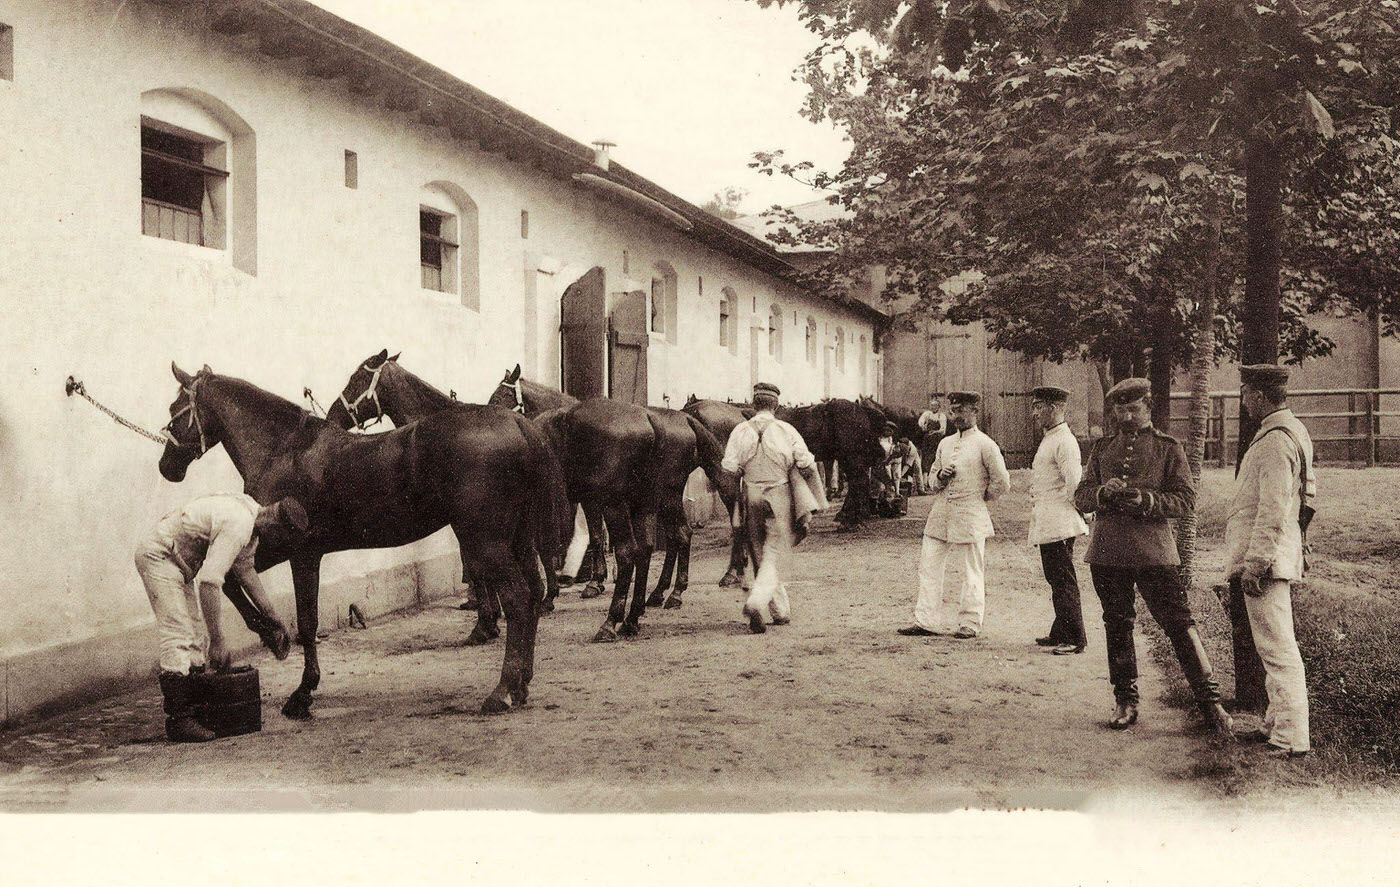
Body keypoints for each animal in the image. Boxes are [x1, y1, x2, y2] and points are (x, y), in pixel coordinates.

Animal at [323, 351, 574, 643]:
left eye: (357, 379)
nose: (333, 415)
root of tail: (524, 428)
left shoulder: (465, 524)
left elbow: (475, 567)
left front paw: (485, 624)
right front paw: (491, 616)